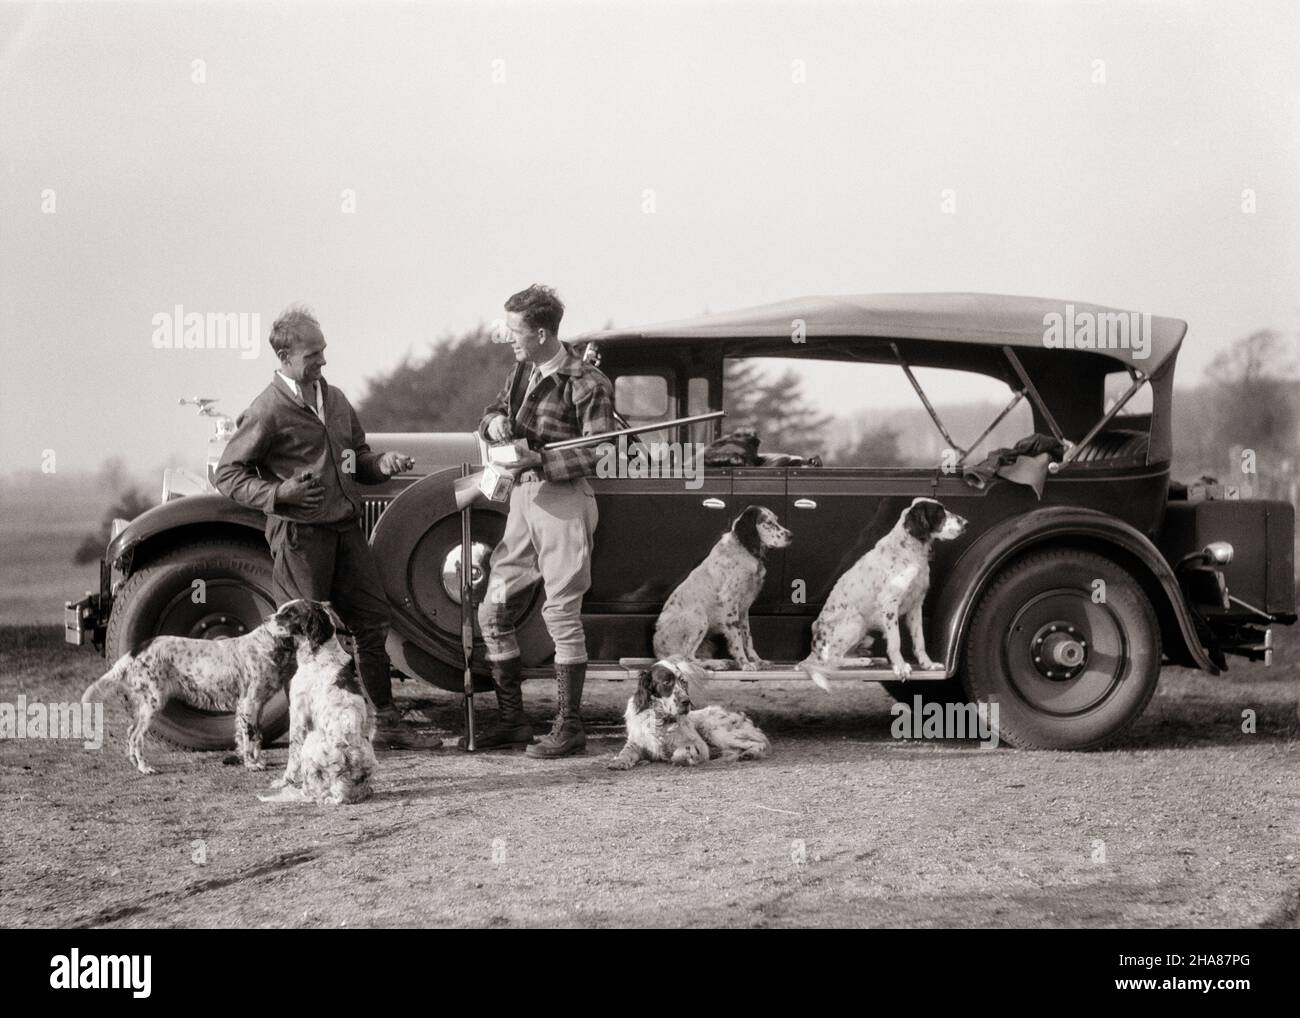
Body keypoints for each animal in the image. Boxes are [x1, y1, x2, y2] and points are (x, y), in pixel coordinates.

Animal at [81, 598, 304, 774]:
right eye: (291, 613)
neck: (267, 643)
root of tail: (135, 651)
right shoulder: (250, 703)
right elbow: (249, 736)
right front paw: (251, 764)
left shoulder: (256, 705)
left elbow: (254, 736)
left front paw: (256, 760)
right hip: (153, 702)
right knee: (136, 736)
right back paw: (145, 768)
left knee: (130, 732)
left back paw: (135, 763)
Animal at [256, 600, 374, 806]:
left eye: (289, 614)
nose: (265, 619)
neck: (320, 654)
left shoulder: (297, 713)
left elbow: (292, 752)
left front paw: (284, 781)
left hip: (310, 742)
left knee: (309, 792)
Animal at [608, 657, 769, 769]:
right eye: (667, 682)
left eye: (683, 682)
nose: (686, 701)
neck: (661, 719)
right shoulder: (637, 741)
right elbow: (626, 751)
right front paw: (619, 761)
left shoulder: (699, 745)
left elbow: (679, 754)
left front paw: (685, 758)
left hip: (714, 730)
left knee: (759, 742)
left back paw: (750, 753)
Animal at [650, 504, 790, 670]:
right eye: (768, 523)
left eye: (776, 520)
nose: (791, 535)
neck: (744, 549)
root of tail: (659, 650)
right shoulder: (730, 601)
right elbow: (737, 638)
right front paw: (744, 663)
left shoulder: (744, 608)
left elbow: (747, 637)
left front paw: (757, 660)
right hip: (698, 616)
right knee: (688, 657)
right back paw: (717, 663)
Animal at [800, 496, 967, 691]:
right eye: (939, 512)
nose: (966, 523)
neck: (911, 552)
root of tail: (814, 650)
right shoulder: (890, 605)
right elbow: (895, 641)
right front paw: (900, 667)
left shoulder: (916, 606)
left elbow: (920, 640)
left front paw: (928, 664)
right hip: (856, 622)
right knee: (831, 661)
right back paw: (864, 661)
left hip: (866, 637)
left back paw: (873, 658)